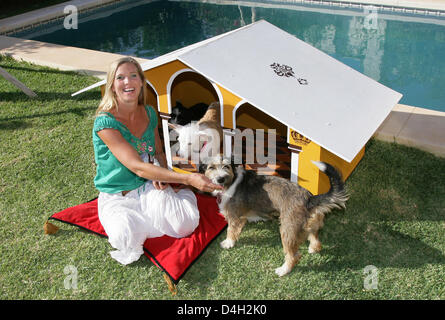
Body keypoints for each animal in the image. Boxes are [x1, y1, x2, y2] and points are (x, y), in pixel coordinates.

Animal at [199, 155, 348, 276]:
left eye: (226, 166)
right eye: (211, 167)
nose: (220, 179)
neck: (232, 180)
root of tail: (309, 199)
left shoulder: (234, 216)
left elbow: (231, 230)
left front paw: (228, 243)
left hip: (287, 230)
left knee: (294, 256)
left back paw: (283, 270)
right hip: (310, 224)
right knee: (315, 237)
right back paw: (313, 248)